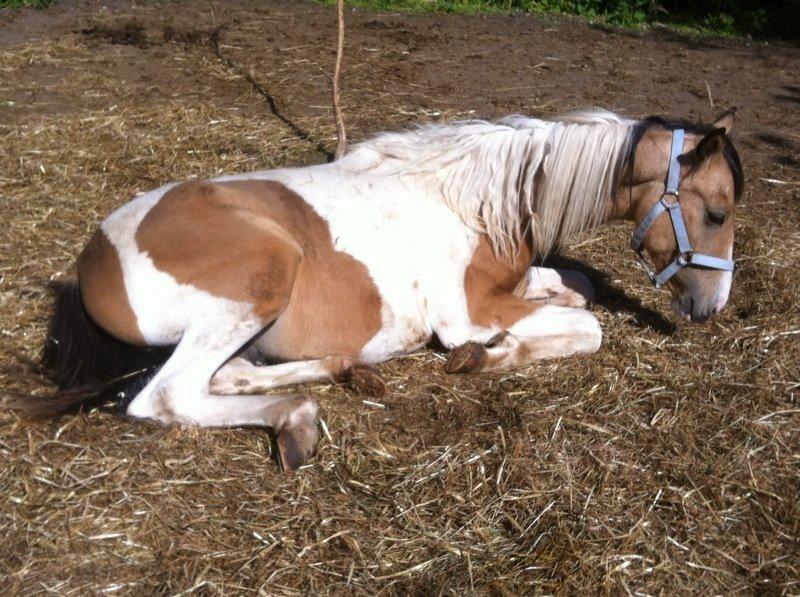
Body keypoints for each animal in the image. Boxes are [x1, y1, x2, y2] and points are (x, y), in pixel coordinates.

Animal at [29, 108, 744, 470]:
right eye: (716, 212)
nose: (710, 309)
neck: (479, 199)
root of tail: (90, 262)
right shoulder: (467, 313)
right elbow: (587, 327)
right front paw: (488, 357)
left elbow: (580, 284)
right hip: (263, 275)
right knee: (168, 396)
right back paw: (298, 419)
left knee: (228, 376)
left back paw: (339, 375)